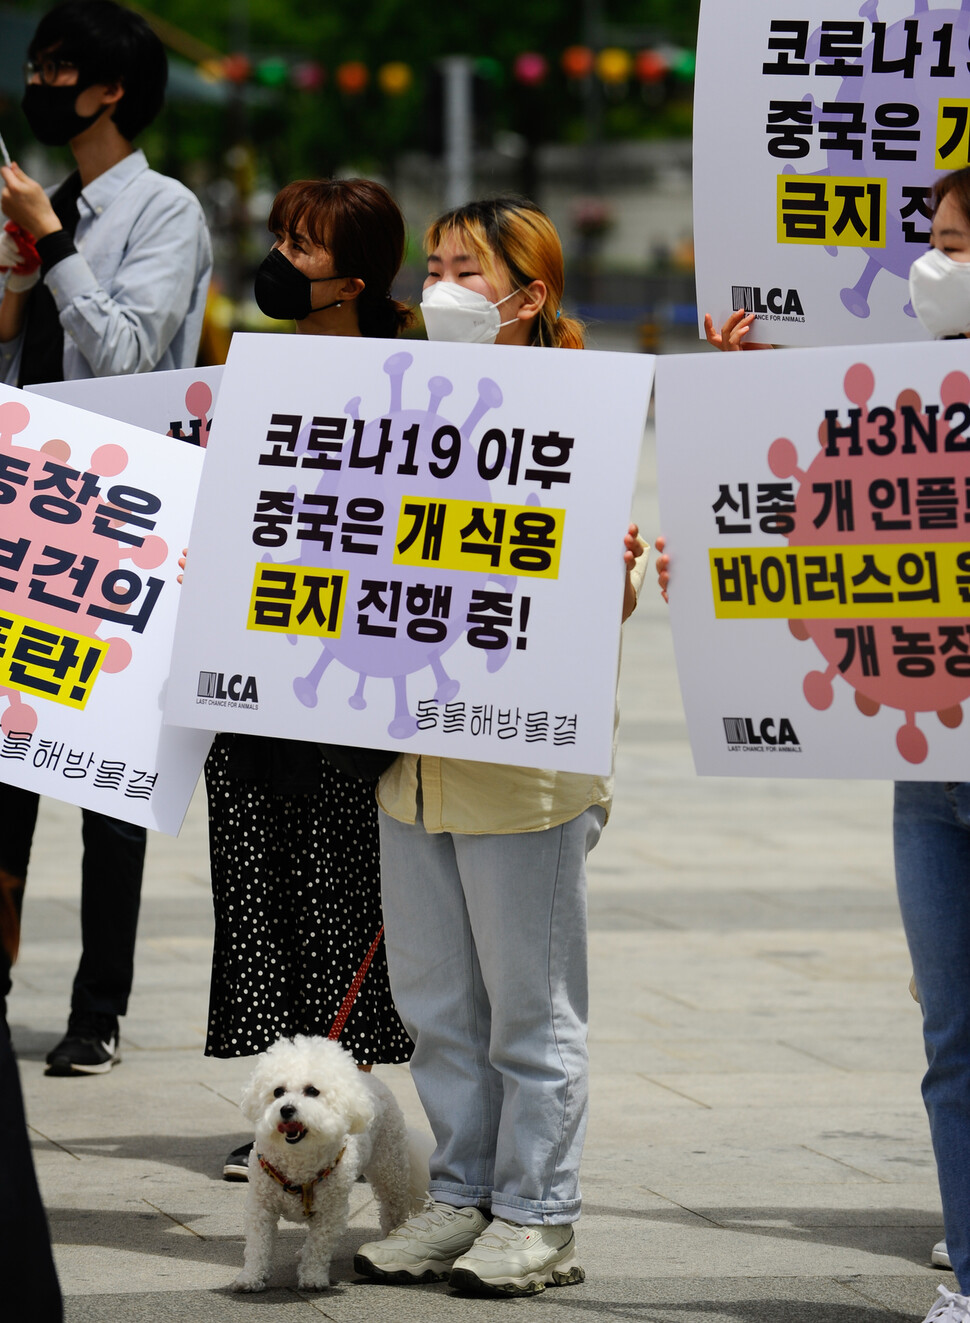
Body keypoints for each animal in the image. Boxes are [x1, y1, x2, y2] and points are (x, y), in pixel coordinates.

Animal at [230, 1031, 423, 1291]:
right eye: (278, 1091)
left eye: (312, 1091)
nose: (286, 1109)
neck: (298, 1157)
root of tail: (366, 1078)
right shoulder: (261, 1206)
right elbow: (257, 1245)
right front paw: (250, 1277)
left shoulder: (331, 1212)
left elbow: (318, 1247)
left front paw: (313, 1278)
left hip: (390, 1168)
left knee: (393, 1210)